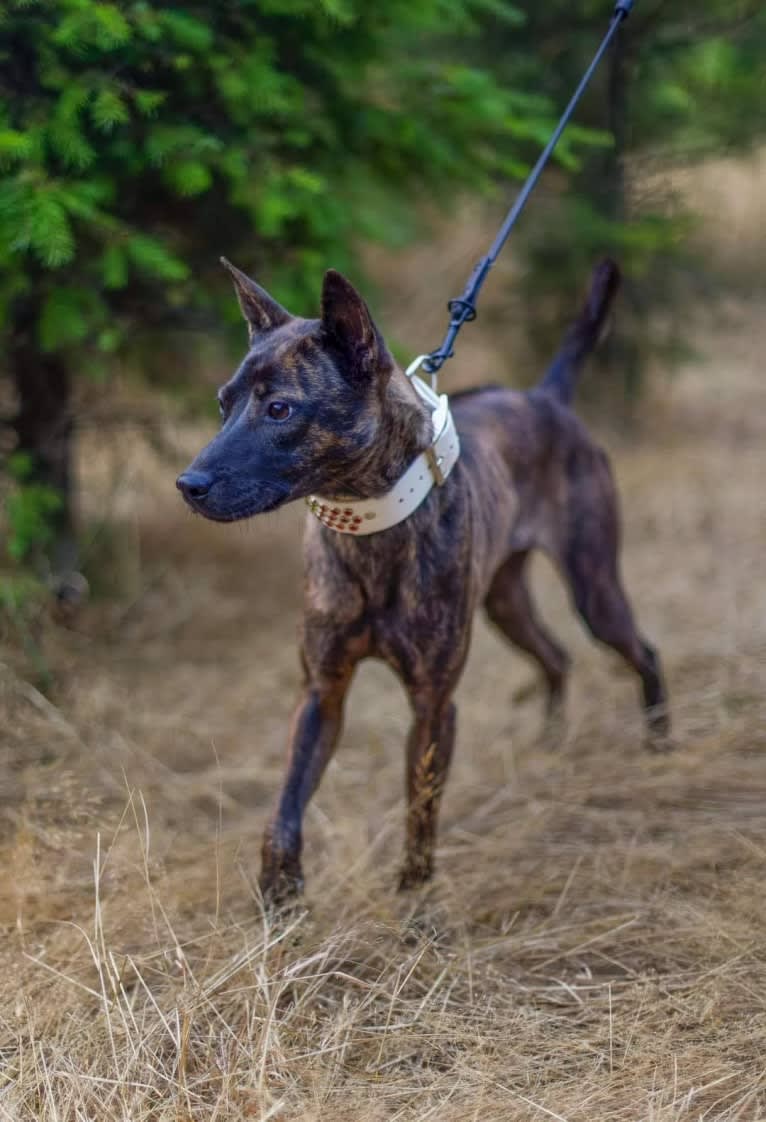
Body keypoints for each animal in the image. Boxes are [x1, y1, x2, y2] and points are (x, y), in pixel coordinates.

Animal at [177, 258, 668, 897]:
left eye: (279, 409)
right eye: (223, 403)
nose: (188, 485)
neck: (369, 530)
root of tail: (545, 397)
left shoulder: (434, 706)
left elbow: (420, 814)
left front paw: (415, 903)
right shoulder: (320, 693)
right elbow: (283, 811)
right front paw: (279, 896)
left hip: (594, 589)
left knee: (642, 651)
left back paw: (659, 747)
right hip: (505, 601)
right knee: (556, 656)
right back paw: (551, 744)